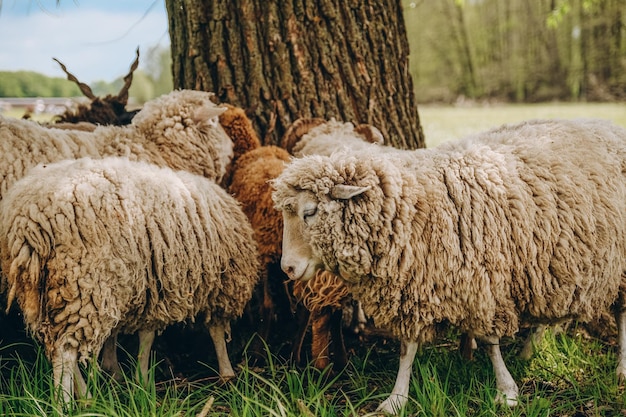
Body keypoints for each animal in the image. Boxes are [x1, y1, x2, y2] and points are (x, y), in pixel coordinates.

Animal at [0, 156, 258, 404]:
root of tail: (27, 223)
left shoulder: (153, 289)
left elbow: (143, 335)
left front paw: (136, 379)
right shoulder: (219, 285)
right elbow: (215, 331)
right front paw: (227, 373)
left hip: (50, 291)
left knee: (60, 347)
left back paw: (86, 397)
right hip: (84, 282)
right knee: (65, 352)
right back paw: (63, 403)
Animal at [272, 118, 624, 412]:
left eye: (310, 211)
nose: (287, 268)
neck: (414, 203)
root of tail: (608, 125)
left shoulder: (484, 285)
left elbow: (490, 341)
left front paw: (506, 391)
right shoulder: (414, 287)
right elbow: (407, 349)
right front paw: (395, 399)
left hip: (620, 270)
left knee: (621, 314)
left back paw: (620, 368)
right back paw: (530, 349)